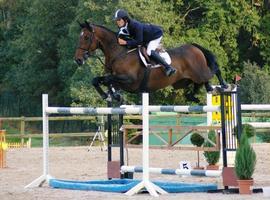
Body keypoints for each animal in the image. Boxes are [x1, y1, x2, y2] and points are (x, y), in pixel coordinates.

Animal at [74, 21, 228, 102]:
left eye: (86, 37)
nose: (78, 59)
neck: (119, 53)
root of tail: (194, 46)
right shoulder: (117, 79)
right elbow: (98, 80)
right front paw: (109, 95)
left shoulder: (129, 80)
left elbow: (107, 79)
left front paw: (112, 95)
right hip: (184, 81)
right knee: (201, 83)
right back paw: (195, 96)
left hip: (199, 72)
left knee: (214, 71)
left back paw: (224, 85)